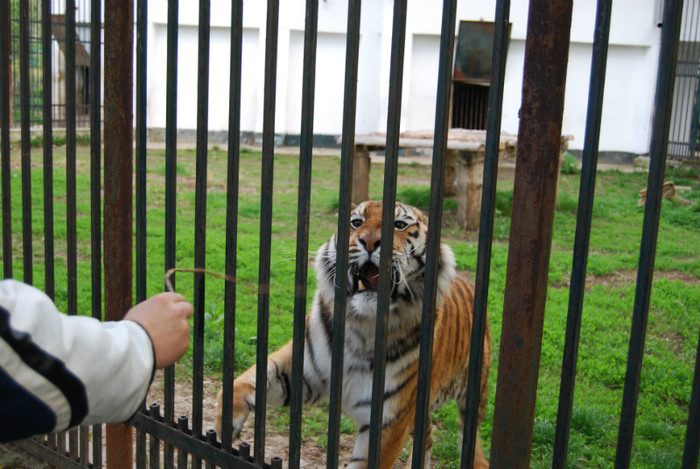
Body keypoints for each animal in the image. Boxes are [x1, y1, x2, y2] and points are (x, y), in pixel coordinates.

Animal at [215, 201, 492, 468]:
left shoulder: (388, 422)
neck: (363, 325)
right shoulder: (302, 372)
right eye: (357, 222)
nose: (369, 241)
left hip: (471, 396)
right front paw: (224, 424)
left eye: (400, 225)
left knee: (473, 443)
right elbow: (243, 380)